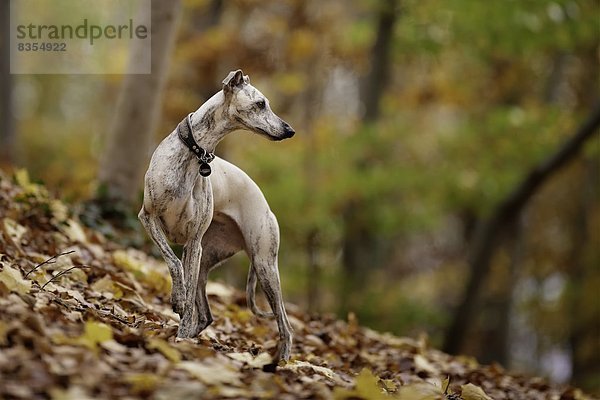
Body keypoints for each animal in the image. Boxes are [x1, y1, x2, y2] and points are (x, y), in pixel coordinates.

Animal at [138, 70, 292, 360]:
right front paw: (177, 301)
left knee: (285, 325)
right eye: (260, 104)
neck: (194, 154)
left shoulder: (193, 243)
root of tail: (267, 208)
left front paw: (179, 324)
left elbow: (187, 301)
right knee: (206, 315)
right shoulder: (148, 217)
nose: (290, 130)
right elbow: (173, 263)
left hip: (264, 265)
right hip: (211, 259)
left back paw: (284, 362)